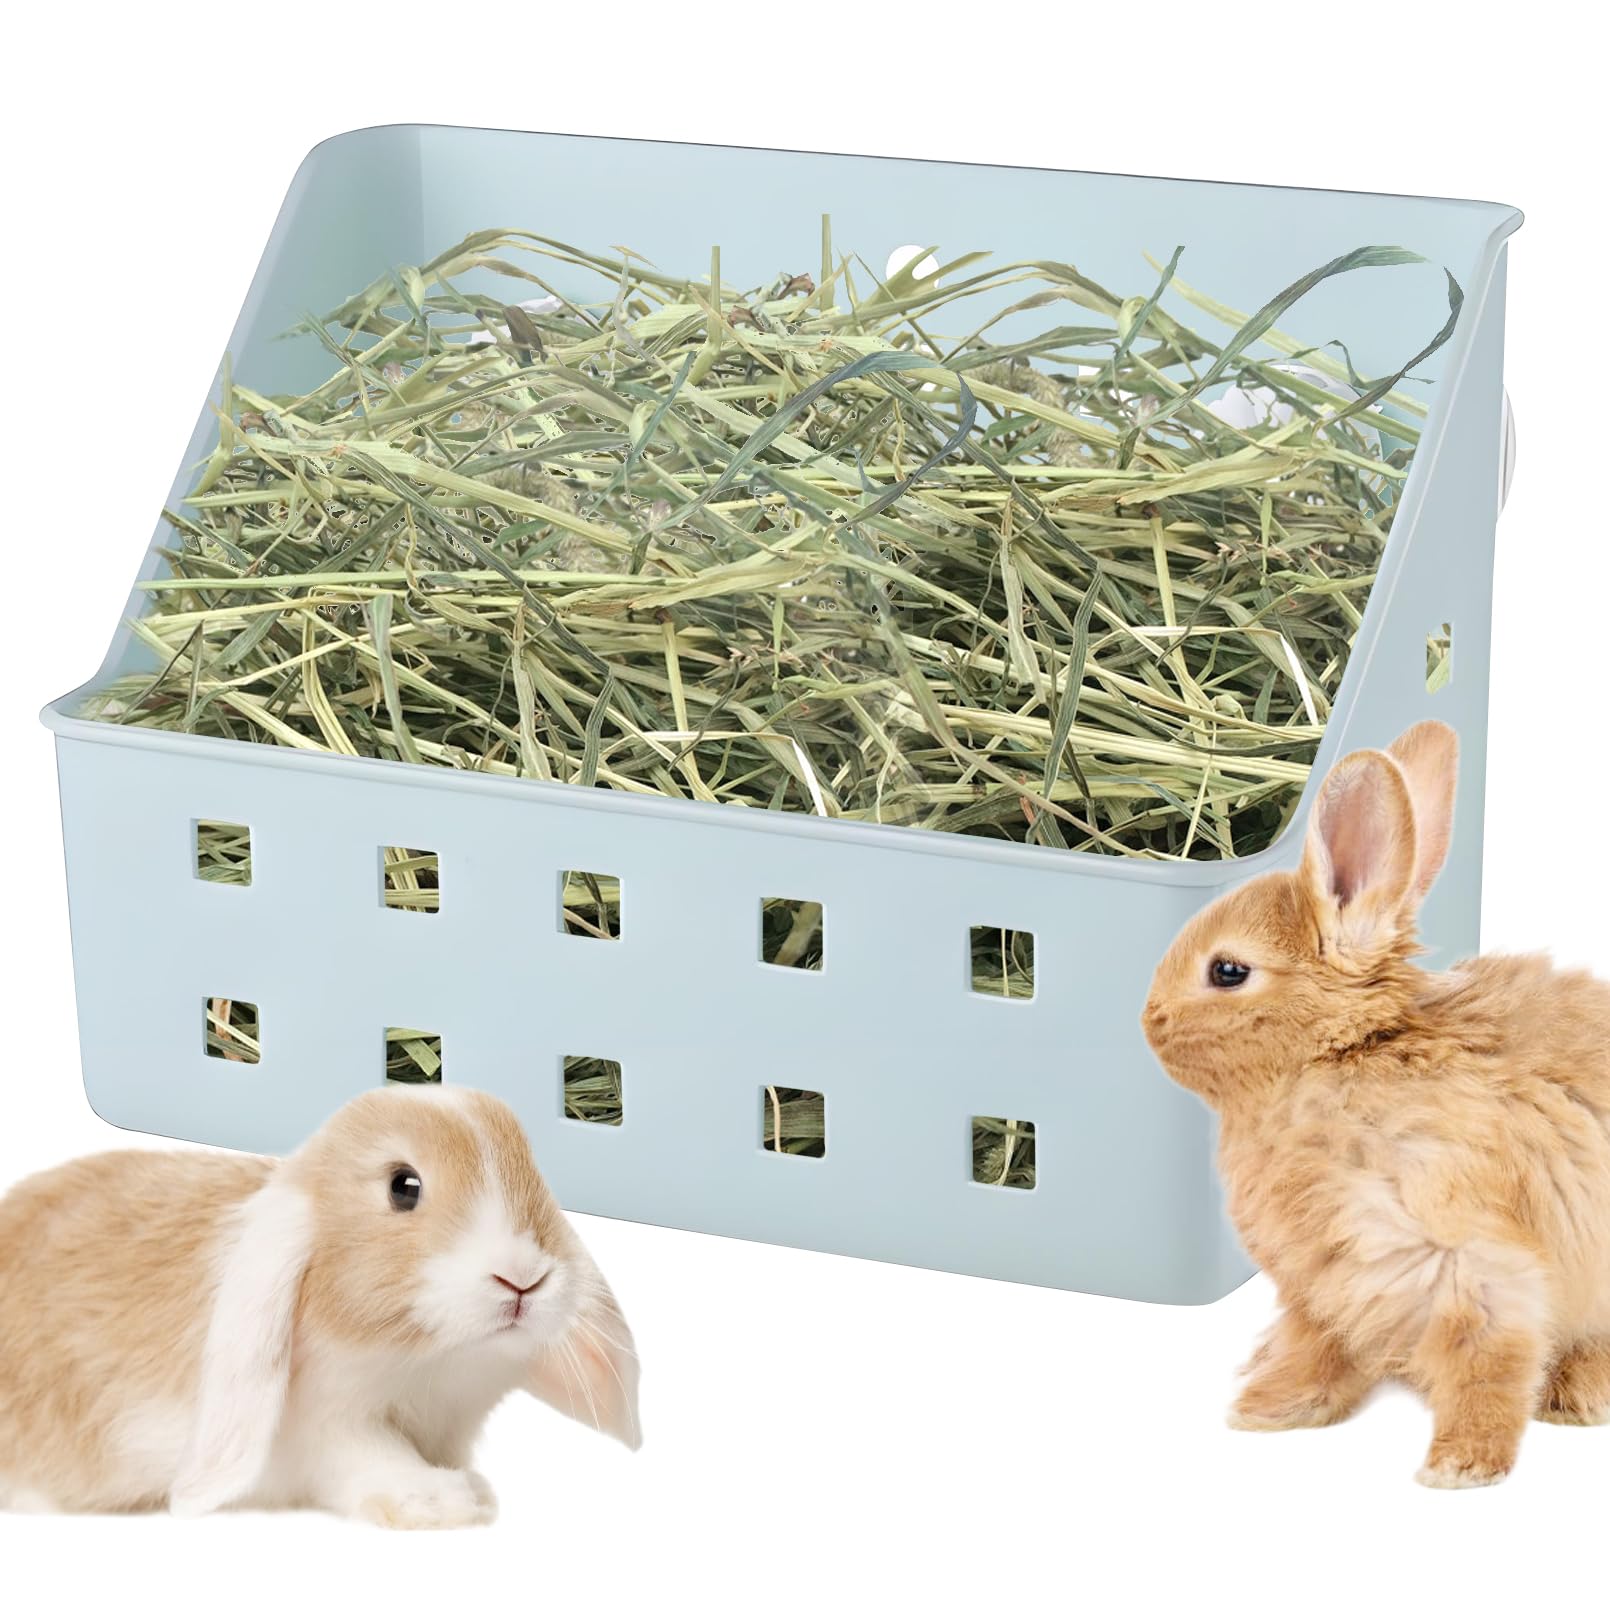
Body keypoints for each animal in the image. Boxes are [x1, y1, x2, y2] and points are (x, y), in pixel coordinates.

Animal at [0, 1083, 640, 1524]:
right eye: (403, 1186)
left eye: (533, 1170)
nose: (523, 1277)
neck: (430, 1366)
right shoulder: (332, 1427)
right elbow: (370, 1456)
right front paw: (442, 1502)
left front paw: (473, 1490)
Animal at [1142, 719, 1610, 1487]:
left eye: (1228, 971)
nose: (1149, 1023)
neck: (1338, 1059)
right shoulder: (1323, 1289)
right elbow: (1319, 1347)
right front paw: (1270, 1409)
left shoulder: (1471, 1259)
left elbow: (1490, 1364)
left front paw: (1460, 1467)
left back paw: (1579, 1396)